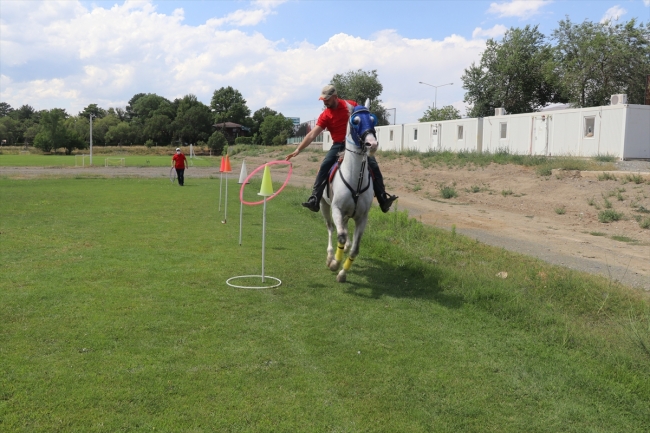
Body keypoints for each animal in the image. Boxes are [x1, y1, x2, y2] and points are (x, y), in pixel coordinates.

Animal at [318, 99, 374, 282]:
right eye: (355, 121)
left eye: (373, 119)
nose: (372, 144)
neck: (355, 179)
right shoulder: (337, 209)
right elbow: (340, 236)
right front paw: (335, 263)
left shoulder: (362, 217)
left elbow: (355, 248)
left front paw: (343, 273)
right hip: (324, 205)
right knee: (331, 228)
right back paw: (330, 255)